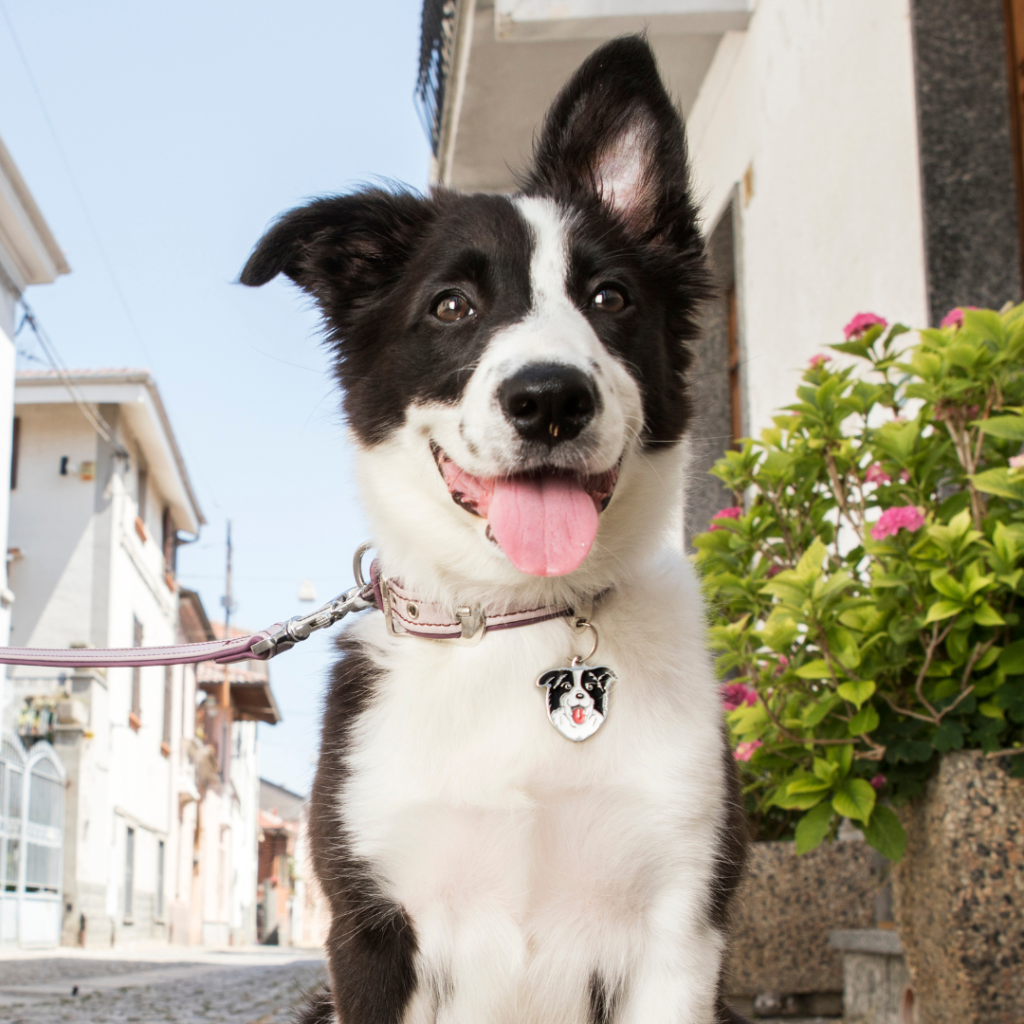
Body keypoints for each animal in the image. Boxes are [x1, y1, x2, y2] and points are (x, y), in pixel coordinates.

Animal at [243, 36, 749, 1024]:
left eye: (609, 297)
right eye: (451, 307)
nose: (550, 399)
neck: (516, 617)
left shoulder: (680, 931)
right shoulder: (370, 932)